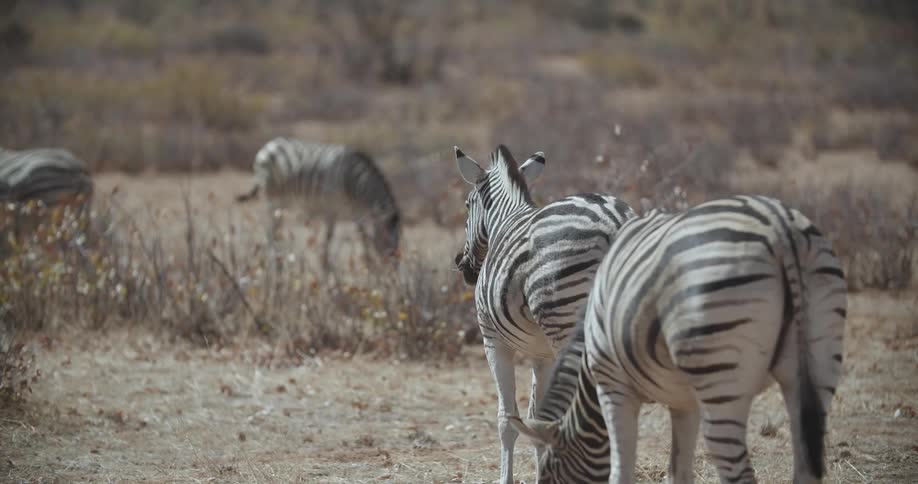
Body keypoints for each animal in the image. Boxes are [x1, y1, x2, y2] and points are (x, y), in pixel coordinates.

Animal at [236, 137, 400, 267]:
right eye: (386, 239)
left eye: (399, 240)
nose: (393, 267)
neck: (351, 182)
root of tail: (269, 144)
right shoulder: (331, 207)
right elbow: (331, 236)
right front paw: (326, 264)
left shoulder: (355, 211)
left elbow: (362, 234)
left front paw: (368, 262)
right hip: (272, 199)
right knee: (269, 231)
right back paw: (275, 260)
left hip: (281, 204)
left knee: (275, 230)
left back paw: (280, 256)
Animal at [453, 144, 636, 484]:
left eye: (468, 204)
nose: (462, 264)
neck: (506, 218)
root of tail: (613, 220)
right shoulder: (542, 354)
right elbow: (538, 416)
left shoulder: (492, 341)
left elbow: (508, 418)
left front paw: (507, 478)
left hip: (566, 323)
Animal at [509, 195, 848, 484]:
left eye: (549, 474)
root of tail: (779, 227)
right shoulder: (684, 402)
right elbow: (678, 471)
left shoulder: (612, 386)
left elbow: (621, 471)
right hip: (819, 359)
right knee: (806, 466)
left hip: (720, 379)